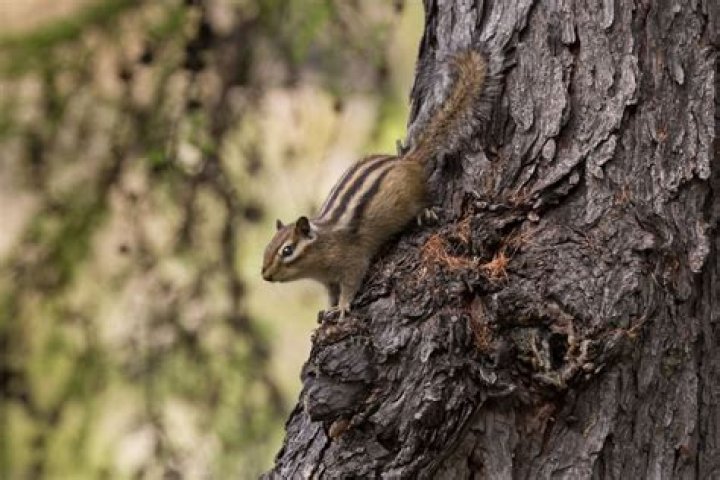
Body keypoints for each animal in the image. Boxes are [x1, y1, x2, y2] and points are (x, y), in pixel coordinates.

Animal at [262, 49, 496, 317]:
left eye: (287, 251)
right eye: (267, 248)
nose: (265, 275)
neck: (322, 246)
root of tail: (408, 160)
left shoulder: (351, 261)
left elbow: (351, 283)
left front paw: (343, 307)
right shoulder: (328, 281)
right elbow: (331, 294)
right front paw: (328, 310)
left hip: (414, 194)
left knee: (425, 198)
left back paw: (424, 211)